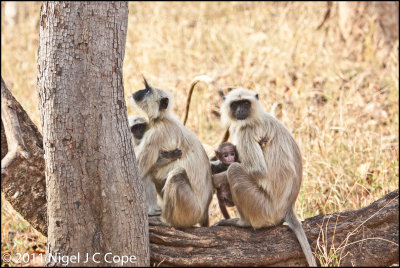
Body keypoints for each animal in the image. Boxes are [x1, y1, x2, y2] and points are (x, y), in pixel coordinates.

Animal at [130, 78, 214, 227]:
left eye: (147, 90)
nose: (138, 92)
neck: (162, 118)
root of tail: (204, 213)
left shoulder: (156, 134)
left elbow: (139, 170)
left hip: (191, 211)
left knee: (175, 175)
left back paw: (165, 221)